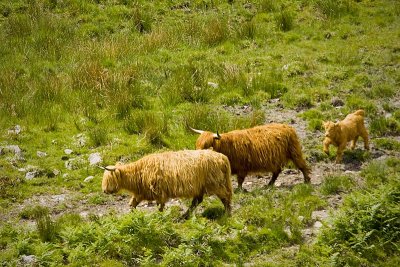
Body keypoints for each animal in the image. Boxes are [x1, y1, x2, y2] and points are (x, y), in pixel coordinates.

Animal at [101, 150, 231, 219]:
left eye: (109, 178)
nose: (104, 190)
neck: (139, 172)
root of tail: (222, 157)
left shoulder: (159, 191)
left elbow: (160, 206)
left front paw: (159, 218)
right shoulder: (142, 192)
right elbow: (133, 204)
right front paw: (131, 216)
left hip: (216, 184)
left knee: (225, 197)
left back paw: (227, 214)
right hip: (200, 187)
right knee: (197, 201)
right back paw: (184, 216)